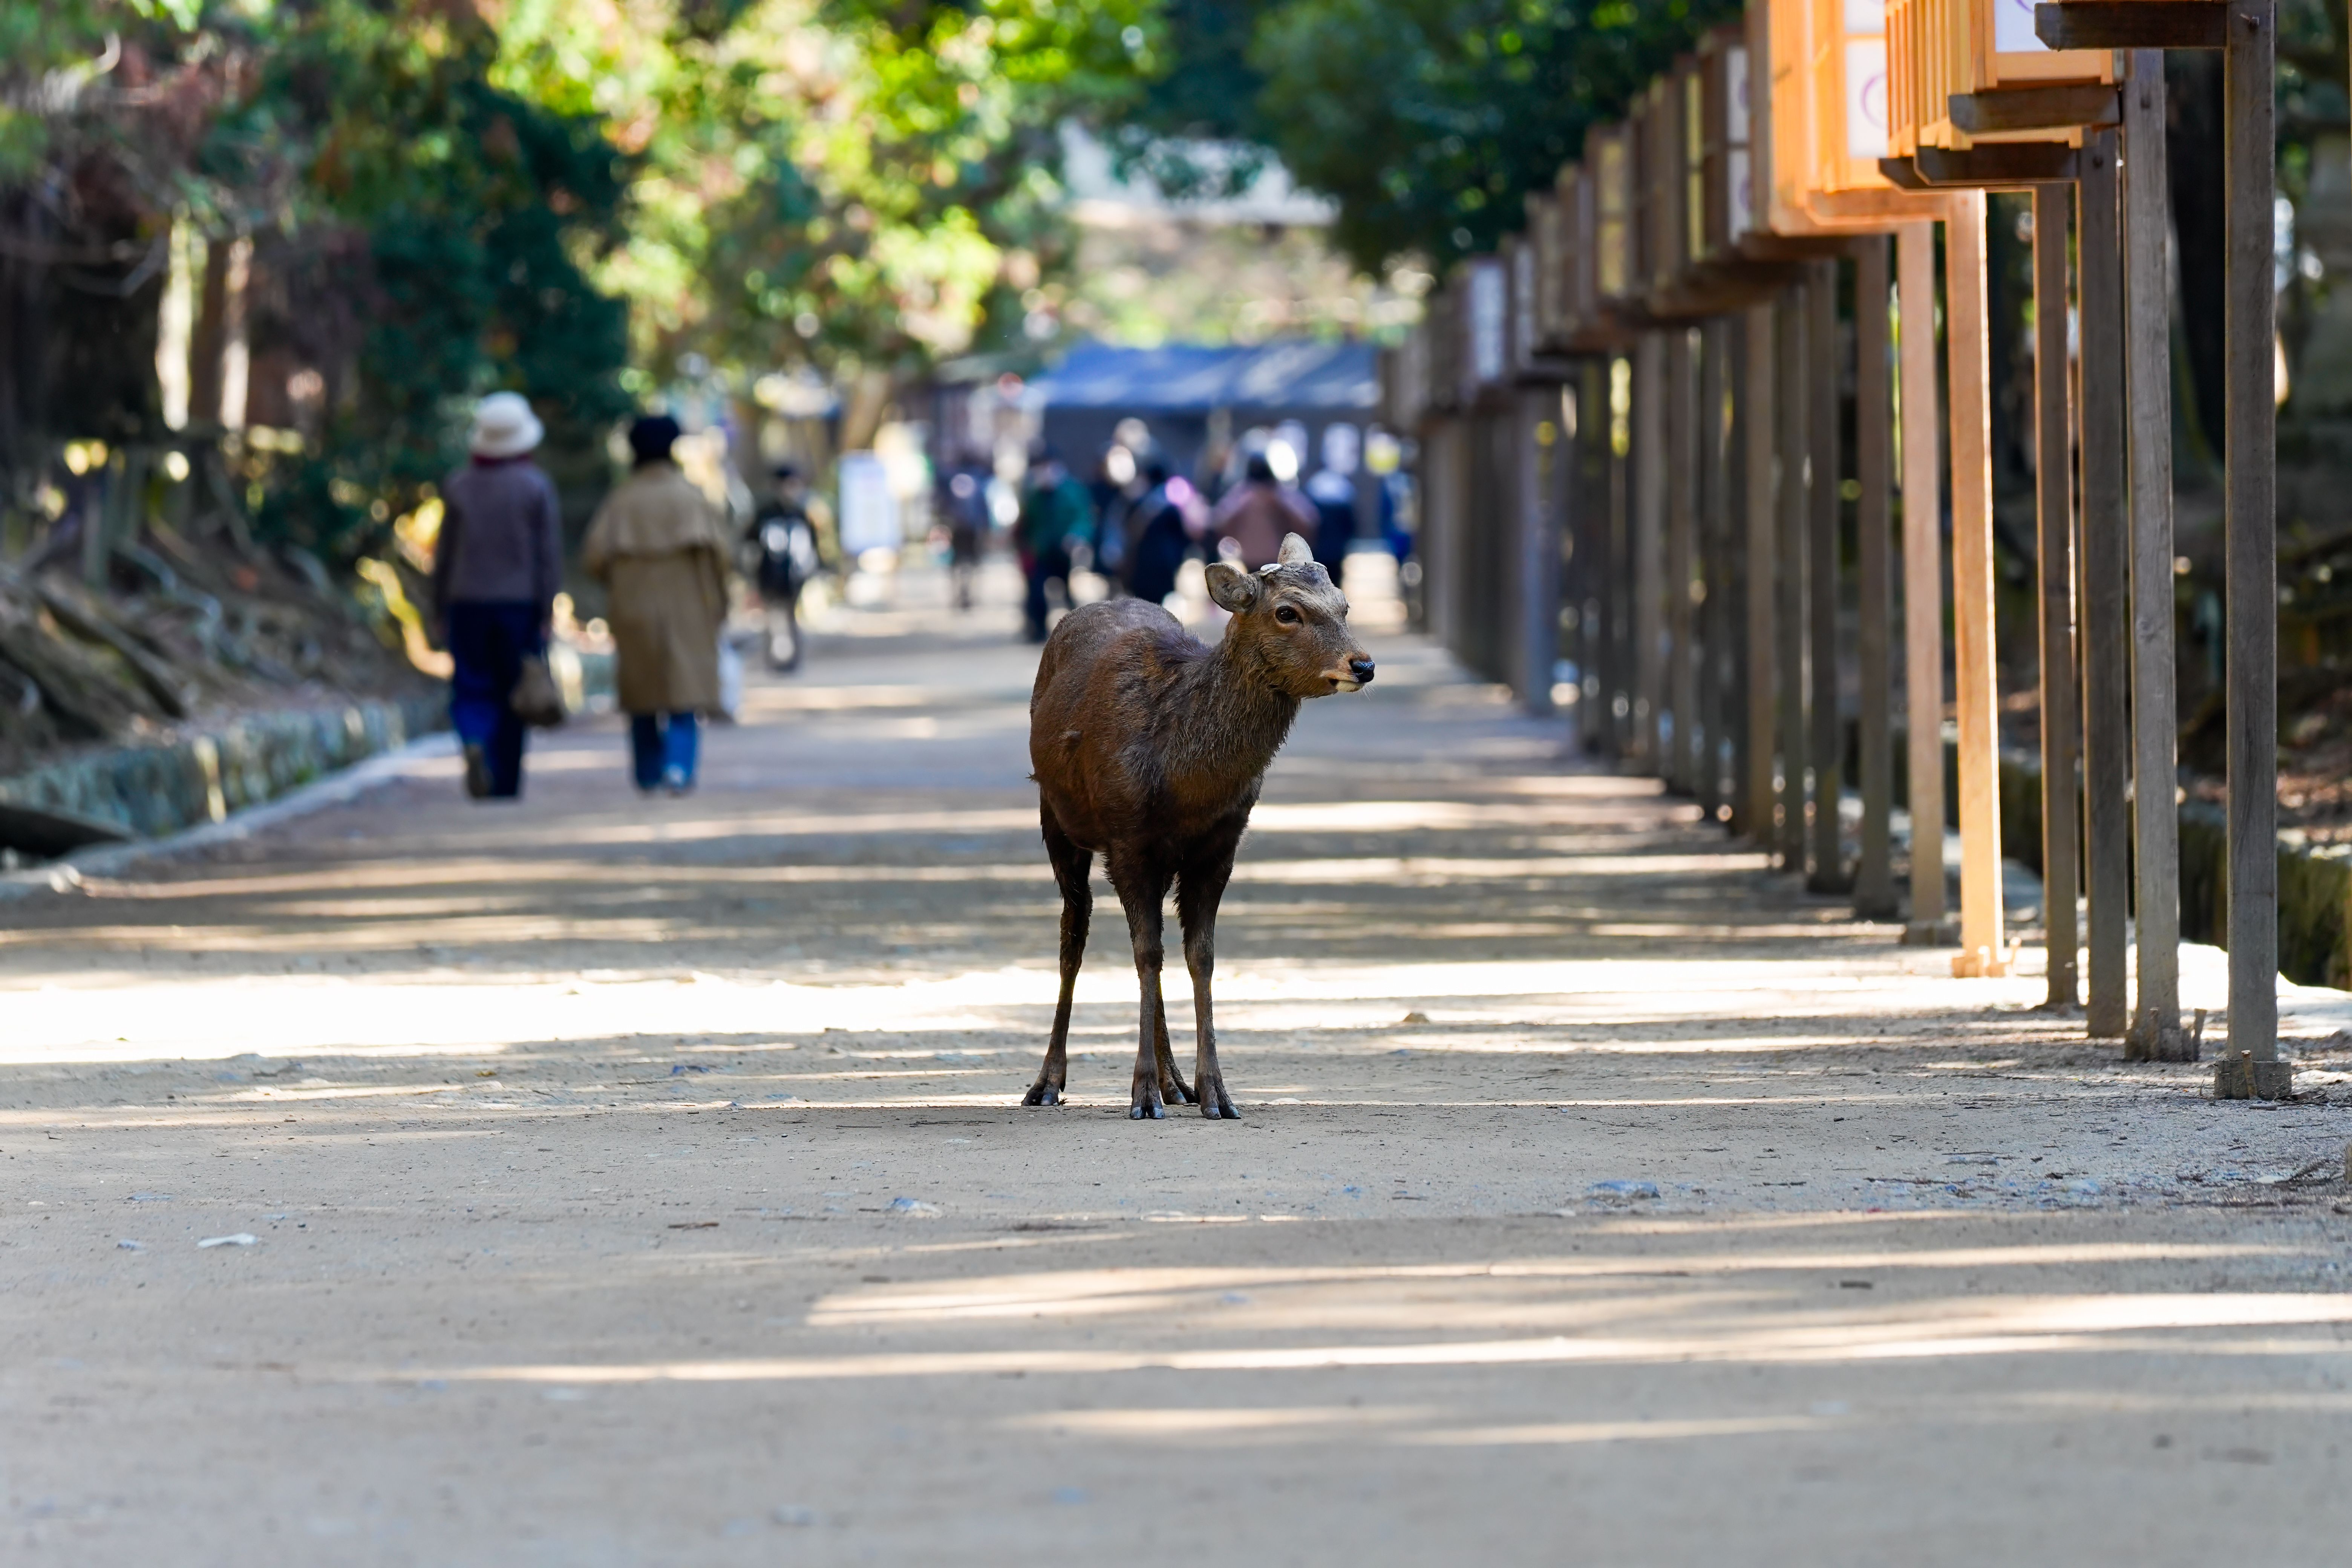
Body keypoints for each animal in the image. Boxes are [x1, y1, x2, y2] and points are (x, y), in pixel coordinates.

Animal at [1024, 531, 1375, 1120]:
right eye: (1287, 612)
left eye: (1344, 605)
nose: (1364, 664)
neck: (1187, 784)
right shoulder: (1128, 839)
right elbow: (1146, 954)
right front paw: (1141, 1094)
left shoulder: (1219, 845)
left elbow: (1200, 957)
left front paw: (1216, 1092)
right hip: (1056, 817)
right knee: (1074, 938)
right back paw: (1049, 1082)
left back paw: (1175, 1083)